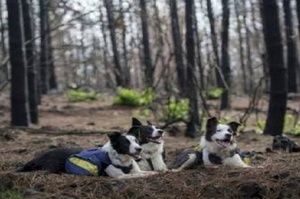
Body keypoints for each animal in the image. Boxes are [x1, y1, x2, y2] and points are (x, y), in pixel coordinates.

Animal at [18, 131, 157, 180]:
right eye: (126, 143)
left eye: (137, 141)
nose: (139, 149)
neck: (123, 160)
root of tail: (36, 157)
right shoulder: (119, 176)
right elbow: (138, 174)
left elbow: (148, 171)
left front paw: (159, 172)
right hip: (54, 165)